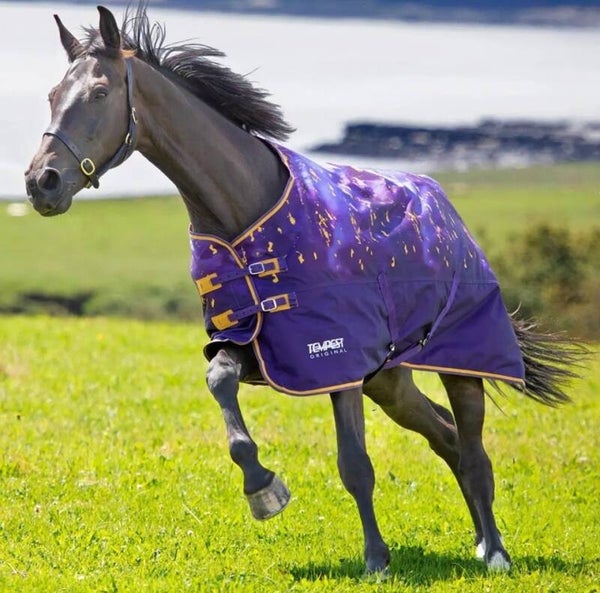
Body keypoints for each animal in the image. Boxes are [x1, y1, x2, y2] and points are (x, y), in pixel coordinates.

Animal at [24, 5, 584, 574]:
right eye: (52, 94)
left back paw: (495, 552)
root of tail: (448, 215)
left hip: (461, 362)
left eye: (99, 92)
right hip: (389, 381)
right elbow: (219, 382)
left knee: (472, 449)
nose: (40, 182)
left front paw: (376, 561)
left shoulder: (337, 361)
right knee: (446, 436)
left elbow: (355, 464)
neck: (246, 214)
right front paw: (263, 489)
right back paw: (480, 543)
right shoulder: (254, 344)